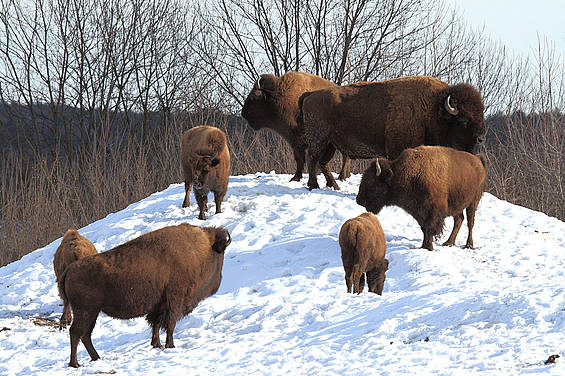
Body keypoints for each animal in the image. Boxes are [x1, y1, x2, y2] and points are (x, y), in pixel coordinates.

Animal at [58, 223, 230, 368]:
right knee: (76, 332)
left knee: (85, 334)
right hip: (86, 311)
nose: (219, 281)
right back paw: (75, 364)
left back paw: (96, 358)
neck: (197, 249)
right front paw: (170, 346)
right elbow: (170, 324)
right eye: (220, 252)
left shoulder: (160, 304)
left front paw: (157, 345)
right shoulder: (174, 299)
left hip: (92, 313)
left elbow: (156, 324)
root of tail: (70, 269)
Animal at [356, 145, 484, 251]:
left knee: (470, 222)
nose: (359, 200)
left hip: (473, 202)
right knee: (459, 219)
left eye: (371, 182)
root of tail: (478, 160)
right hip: (457, 205)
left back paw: (469, 245)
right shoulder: (420, 212)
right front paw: (423, 246)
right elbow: (424, 229)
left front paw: (429, 247)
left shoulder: (432, 212)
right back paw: (449, 242)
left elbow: (430, 228)